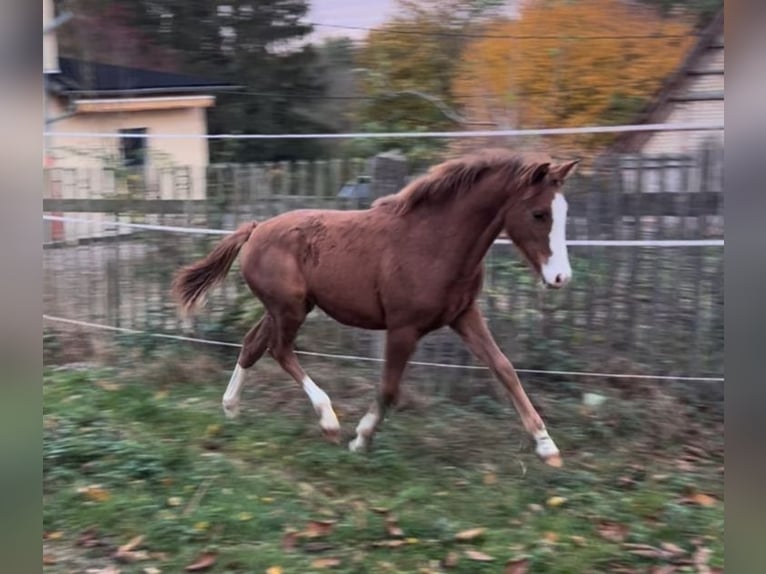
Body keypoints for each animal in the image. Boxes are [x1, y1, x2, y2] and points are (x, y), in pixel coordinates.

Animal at [174, 148, 580, 468]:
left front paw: (547, 446)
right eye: (539, 213)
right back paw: (328, 421)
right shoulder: (403, 328)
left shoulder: (464, 315)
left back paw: (231, 408)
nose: (561, 277)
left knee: (252, 344)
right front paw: (361, 439)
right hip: (289, 309)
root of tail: (255, 229)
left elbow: (504, 368)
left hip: (286, 308)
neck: (434, 242)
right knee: (279, 349)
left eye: (563, 211)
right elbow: (388, 388)